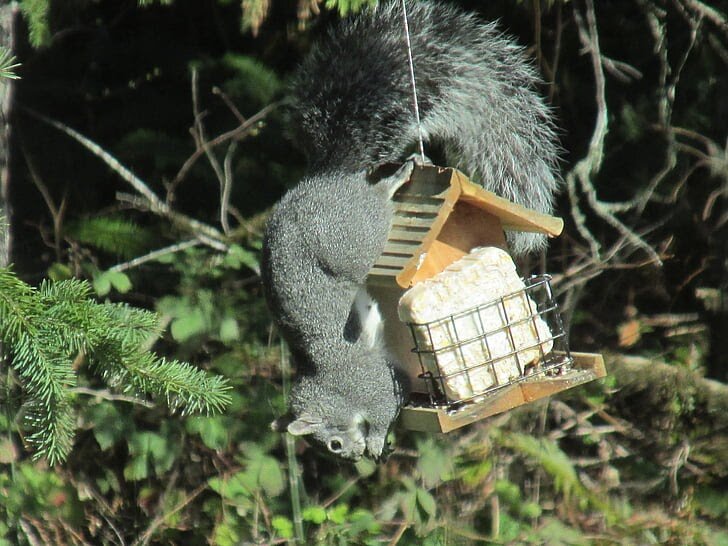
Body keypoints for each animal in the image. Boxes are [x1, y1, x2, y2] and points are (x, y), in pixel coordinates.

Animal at [262, 0, 556, 462]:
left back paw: (394, 181)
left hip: (357, 233)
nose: (355, 458)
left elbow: (386, 404)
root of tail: (326, 176)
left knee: (375, 203)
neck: (331, 384)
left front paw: (378, 439)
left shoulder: (373, 382)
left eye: (332, 443)